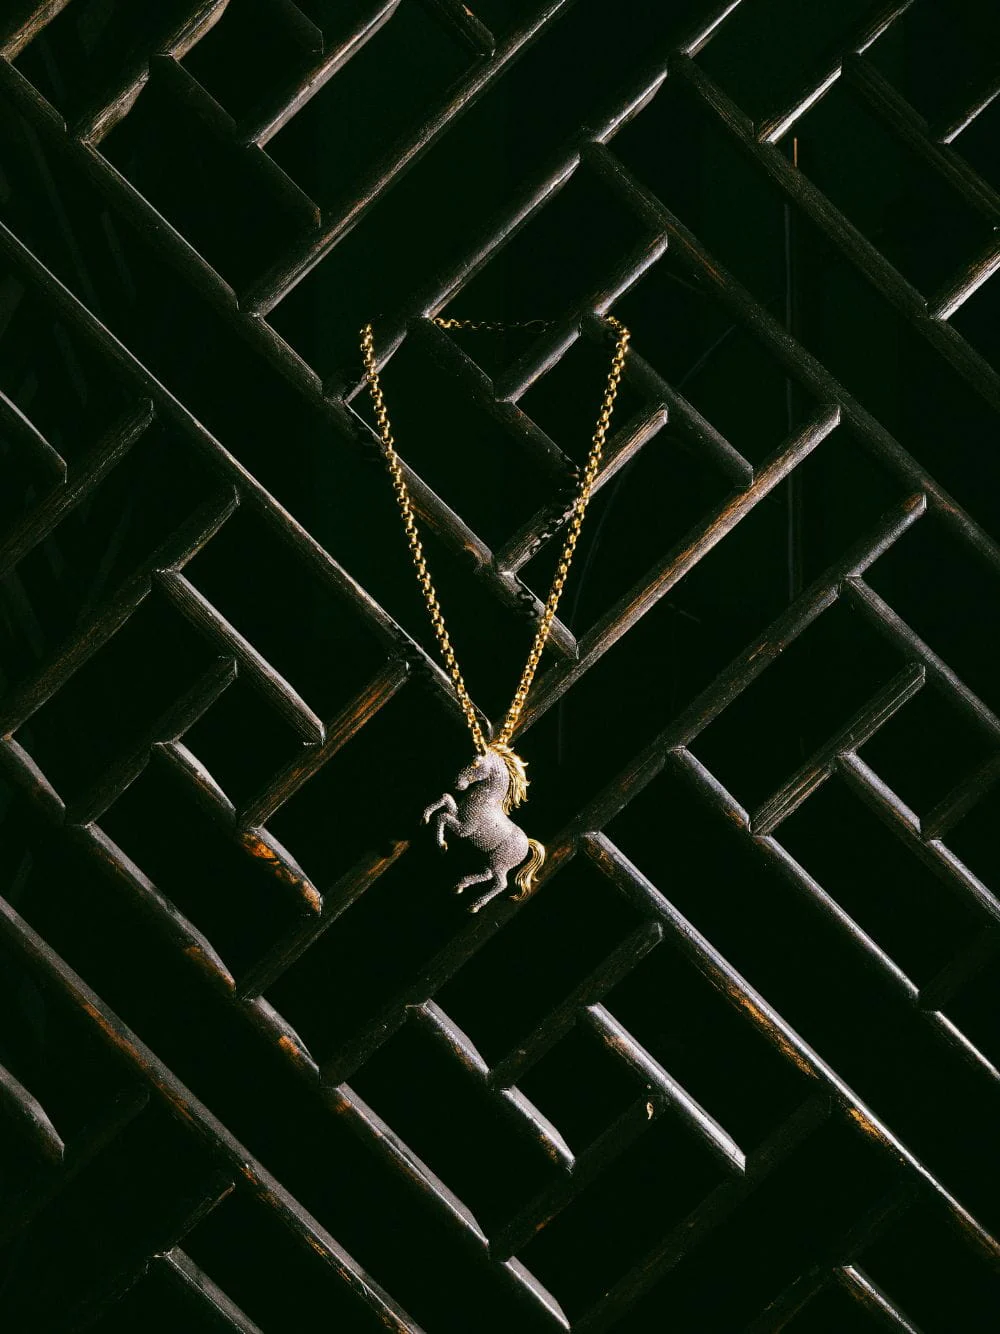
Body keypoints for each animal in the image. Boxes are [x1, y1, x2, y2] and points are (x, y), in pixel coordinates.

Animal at [421, 743, 545, 914]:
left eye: (474, 763)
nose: (457, 783)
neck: (486, 800)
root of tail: (528, 844)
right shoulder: (459, 815)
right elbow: (445, 799)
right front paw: (424, 817)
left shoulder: (464, 829)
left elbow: (442, 816)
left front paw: (442, 846)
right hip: (492, 860)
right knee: (488, 874)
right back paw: (460, 886)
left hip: (501, 863)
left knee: (500, 883)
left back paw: (474, 905)